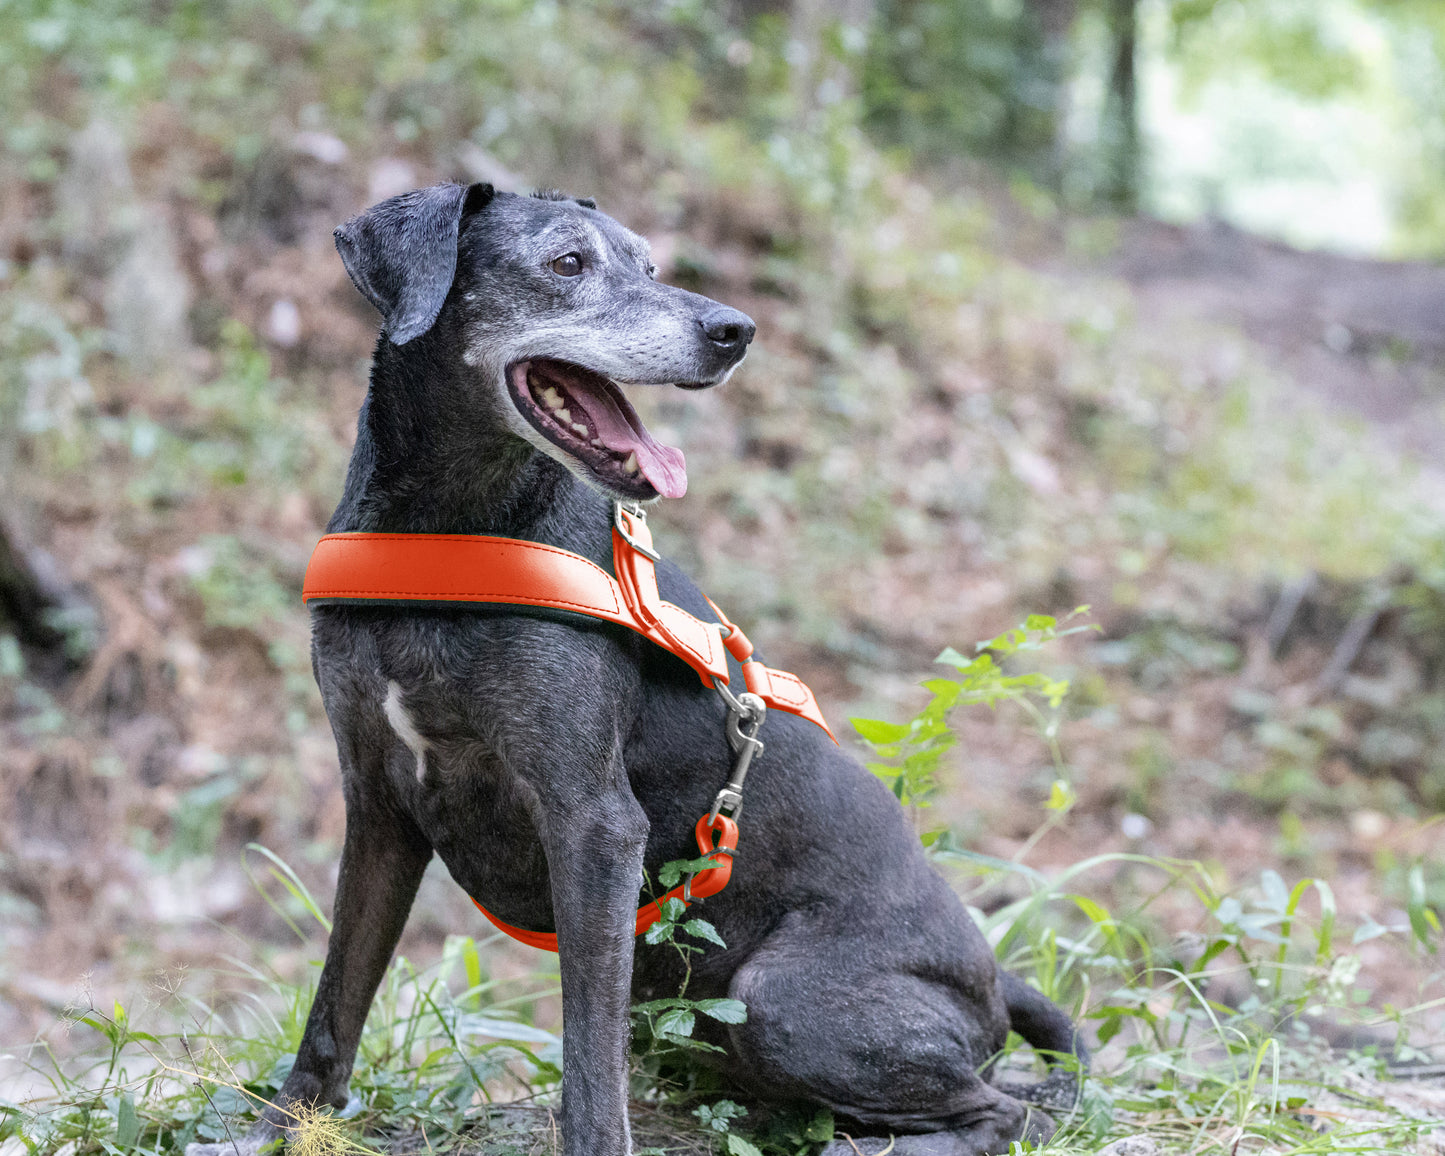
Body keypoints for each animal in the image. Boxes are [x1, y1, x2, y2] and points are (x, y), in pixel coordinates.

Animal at [183, 180, 1086, 1156]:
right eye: (566, 263)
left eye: (651, 265)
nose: (734, 330)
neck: (447, 532)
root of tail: (994, 981)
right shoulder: (379, 804)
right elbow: (335, 1000)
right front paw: (278, 1123)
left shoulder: (592, 823)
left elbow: (588, 1055)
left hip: (782, 999)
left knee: (1008, 1111)